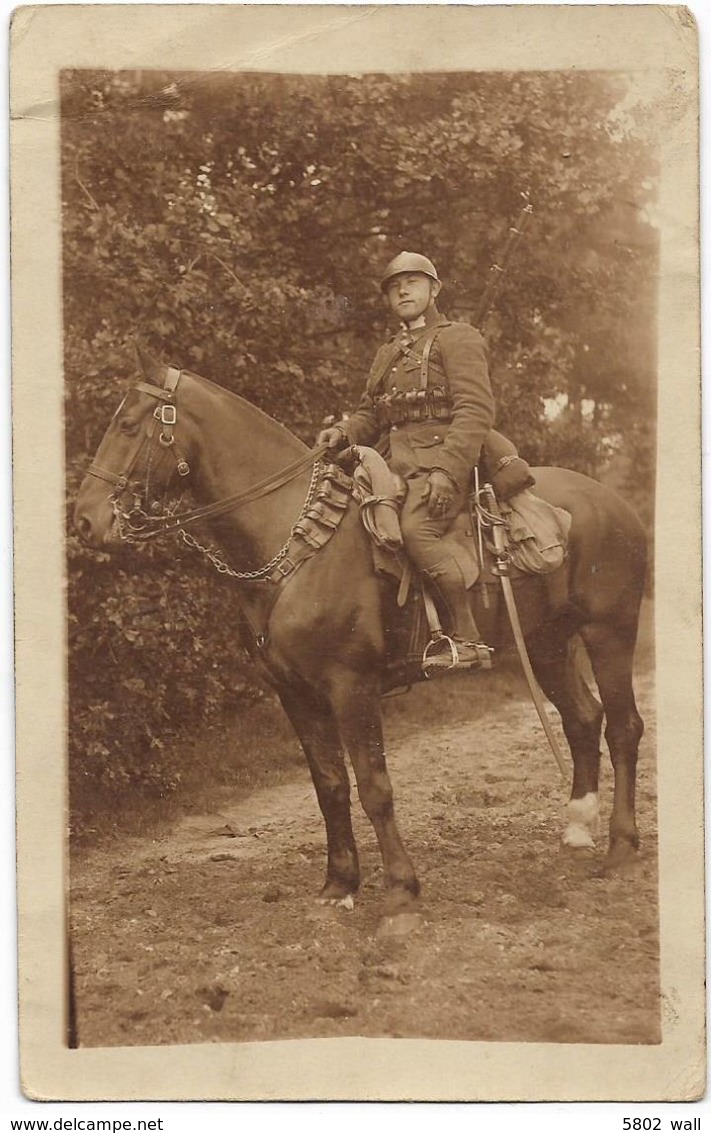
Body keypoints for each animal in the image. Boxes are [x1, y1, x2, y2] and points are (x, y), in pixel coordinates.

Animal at [74, 353, 647, 901]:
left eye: (127, 425)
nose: (84, 520)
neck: (295, 542)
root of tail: (612, 501)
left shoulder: (352, 688)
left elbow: (374, 787)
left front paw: (399, 889)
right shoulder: (296, 695)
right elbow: (329, 786)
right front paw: (339, 884)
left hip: (609, 634)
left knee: (623, 727)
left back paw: (621, 848)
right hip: (547, 643)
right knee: (582, 718)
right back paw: (577, 827)